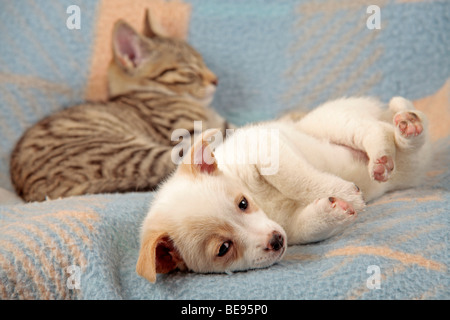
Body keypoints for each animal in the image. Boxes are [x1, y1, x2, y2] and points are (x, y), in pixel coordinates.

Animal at [135, 96, 430, 282]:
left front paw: (343, 192)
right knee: (405, 140)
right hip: (408, 163)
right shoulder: (292, 226)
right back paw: (406, 130)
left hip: (330, 121)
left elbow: (295, 179)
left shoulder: (266, 147)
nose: (276, 241)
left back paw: (393, 139)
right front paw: (334, 209)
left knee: (377, 130)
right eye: (223, 249)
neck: (264, 203)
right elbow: (310, 225)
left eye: (243, 203)